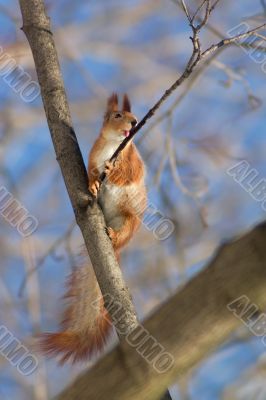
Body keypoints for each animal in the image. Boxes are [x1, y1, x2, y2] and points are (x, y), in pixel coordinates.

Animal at [39, 93, 147, 362]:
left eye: (134, 116)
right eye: (117, 115)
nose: (134, 122)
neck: (113, 147)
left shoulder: (133, 160)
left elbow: (129, 174)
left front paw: (110, 169)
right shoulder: (92, 155)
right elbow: (90, 172)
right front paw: (94, 183)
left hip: (129, 222)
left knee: (121, 232)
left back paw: (114, 234)